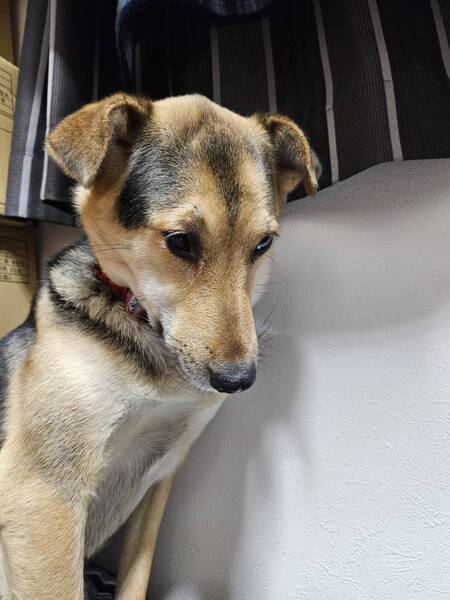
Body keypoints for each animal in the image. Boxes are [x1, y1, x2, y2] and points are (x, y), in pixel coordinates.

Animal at [0, 93, 318, 599]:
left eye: (263, 243)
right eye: (180, 241)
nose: (238, 381)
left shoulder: (159, 476)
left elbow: (137, 580)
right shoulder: (43, 492)